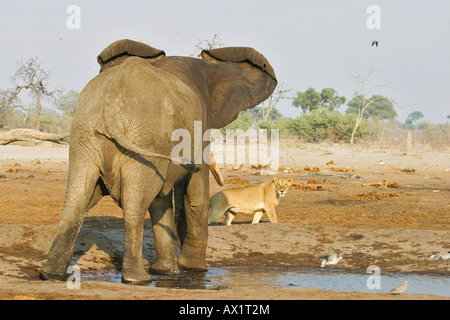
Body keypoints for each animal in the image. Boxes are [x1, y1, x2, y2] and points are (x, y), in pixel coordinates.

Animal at [39, 38, 278, 282]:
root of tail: (112, 101)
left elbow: (161, 199)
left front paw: (168, 272)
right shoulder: (198, 128)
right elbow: (196, 197)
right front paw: (195, 269)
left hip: (86, 135)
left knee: (77, 199)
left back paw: (51, 275)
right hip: (142, 141)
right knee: (134, 204)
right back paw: (138, 278)